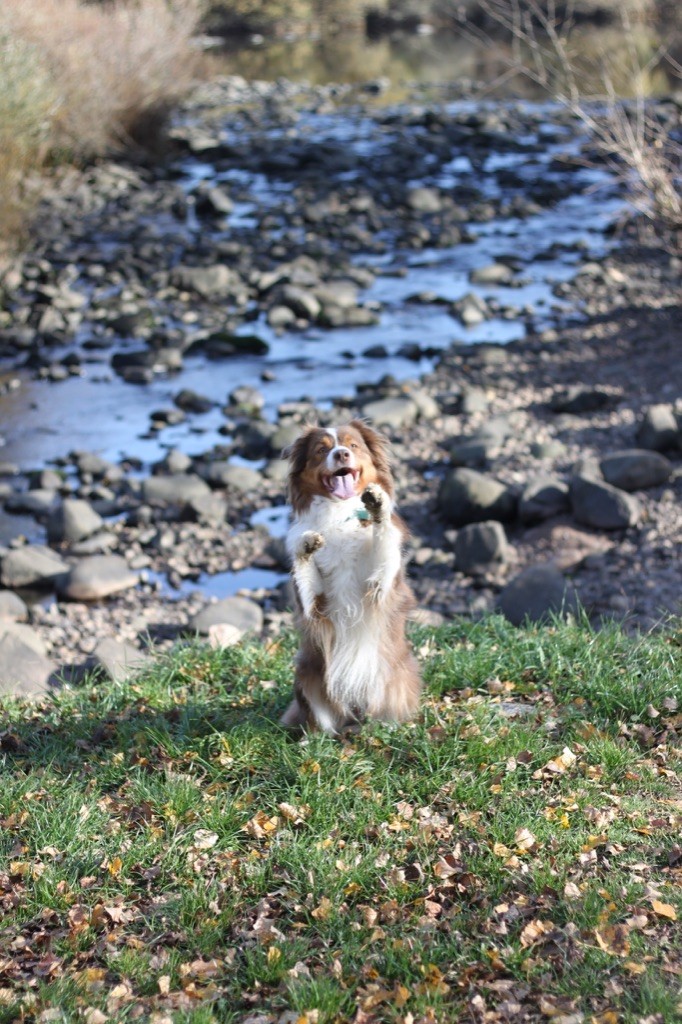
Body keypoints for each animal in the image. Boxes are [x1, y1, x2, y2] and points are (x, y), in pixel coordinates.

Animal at [278, 419, 417, 733]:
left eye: (353, 445)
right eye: (321, 450)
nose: (341, 454)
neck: (339, 512)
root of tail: (355, 716)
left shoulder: (379, 585)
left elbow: (383, 541)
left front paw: (378, 506)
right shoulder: (315, 605)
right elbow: (305, 574)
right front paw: (306, 545)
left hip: (397, 675)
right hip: (308, 674)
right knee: (322, 721)